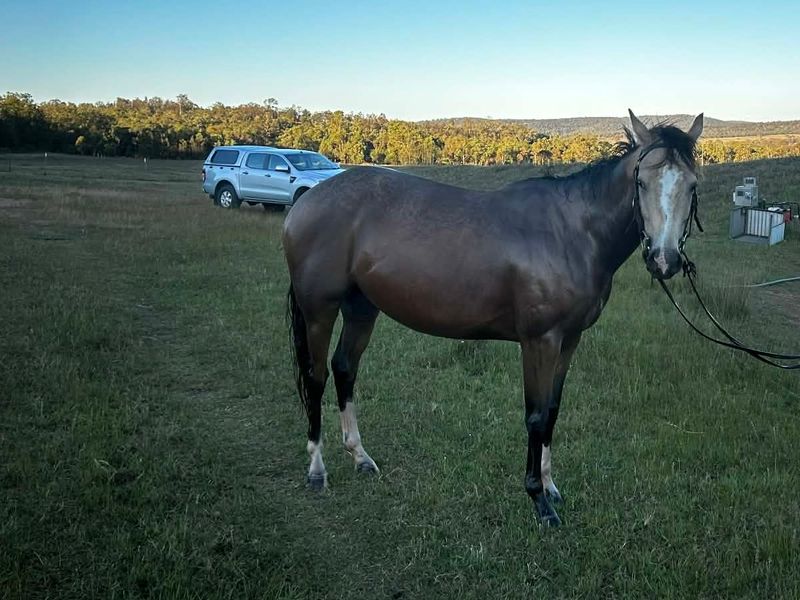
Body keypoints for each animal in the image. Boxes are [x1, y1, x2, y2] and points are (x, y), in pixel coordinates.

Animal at [282, 110, 704, 527]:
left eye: (692, 185)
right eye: (642, 182)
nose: (664, 260)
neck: (571, 233)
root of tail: (308, 199)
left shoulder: (570, 339)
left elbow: (553, 409)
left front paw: (550, 486)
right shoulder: (540, 341)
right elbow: (536, 415)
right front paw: (539, 500)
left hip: (361, 308)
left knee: (345, 369)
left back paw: (360, 456)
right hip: (319, 311)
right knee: (317, 377)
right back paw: (317, 470)